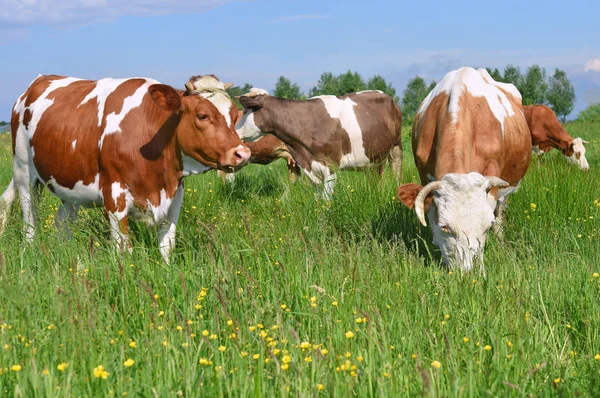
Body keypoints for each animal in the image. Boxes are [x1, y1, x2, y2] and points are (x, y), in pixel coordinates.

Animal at [0, 74, 251, 262]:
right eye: (202, 115)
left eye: (234, 115)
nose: (242, 153)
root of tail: (40, 80)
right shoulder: (114, 196)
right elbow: (124, 250)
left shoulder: (174, 196)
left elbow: (166, 246)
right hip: (24, 173)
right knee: (29, 221)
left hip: (68, 184)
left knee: (62, 221)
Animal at [236, 88, 404, 197]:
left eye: (244, 111)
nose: (234, 131)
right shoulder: (310, 168)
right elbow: (318, 200)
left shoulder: (331, 167)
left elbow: (326, 200)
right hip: (373, 158)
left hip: (396, 147)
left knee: (396, 175)